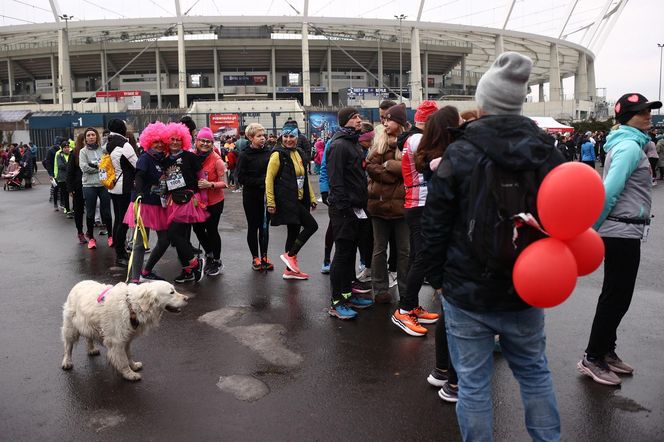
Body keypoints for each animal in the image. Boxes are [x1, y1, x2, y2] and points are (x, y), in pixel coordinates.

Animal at [60, 280, 188, 380]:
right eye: (171, 292)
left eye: (174, 290)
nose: (187, 298)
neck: (132, 306)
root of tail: (78, 283)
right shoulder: (117, 341)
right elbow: (123, 360)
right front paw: (129, 374)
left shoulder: (127, 339)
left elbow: (129, 355)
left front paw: (134, 366)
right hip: (70, 328)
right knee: (68, 346)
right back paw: (67, 362)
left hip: (88, 323)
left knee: (88, 337)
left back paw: (91, 349)